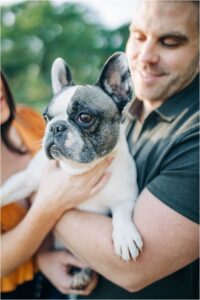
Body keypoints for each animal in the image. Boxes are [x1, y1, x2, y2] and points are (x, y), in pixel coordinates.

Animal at [1, 52, 142, 290]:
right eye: (46, 117)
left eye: (84, 117)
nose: (56, 127)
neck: (78, 169)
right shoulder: (27, 179)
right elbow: (6, 191)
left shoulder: (125, 195)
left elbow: (122, 213)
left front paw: (125, 236)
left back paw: (82, 276)